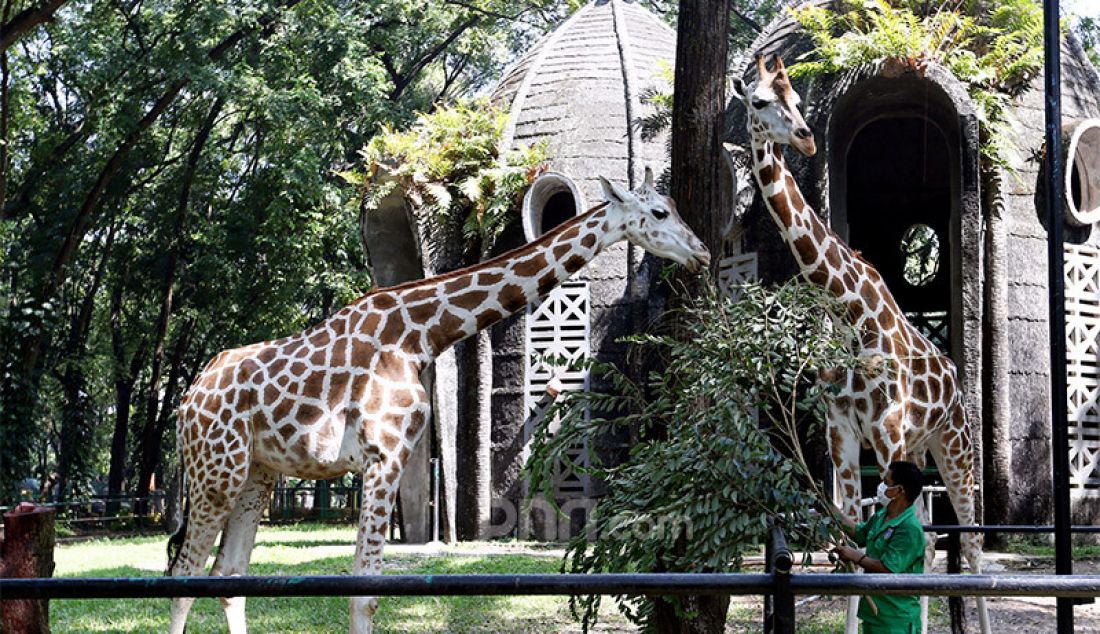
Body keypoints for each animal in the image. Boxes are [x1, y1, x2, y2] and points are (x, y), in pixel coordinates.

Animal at [166, 168, 708, 634]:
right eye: (659, 212)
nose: (700, 252)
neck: (420, 334)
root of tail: (188, 398)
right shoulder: (382, 457)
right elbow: (365, 592)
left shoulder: (392, 458)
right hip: (216, 472)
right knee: (184, 575)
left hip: (255, 475)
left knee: (228, 577)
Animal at [730, 55, 998, 634]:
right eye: (759, 101)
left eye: (798, 102)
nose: (806, 139)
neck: (850, 316)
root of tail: (954, 375)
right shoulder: (844, 437)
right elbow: (853, 547)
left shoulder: (888, 433)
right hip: (920, 448)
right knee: (932, 538)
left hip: (954, 446)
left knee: (970, 546)